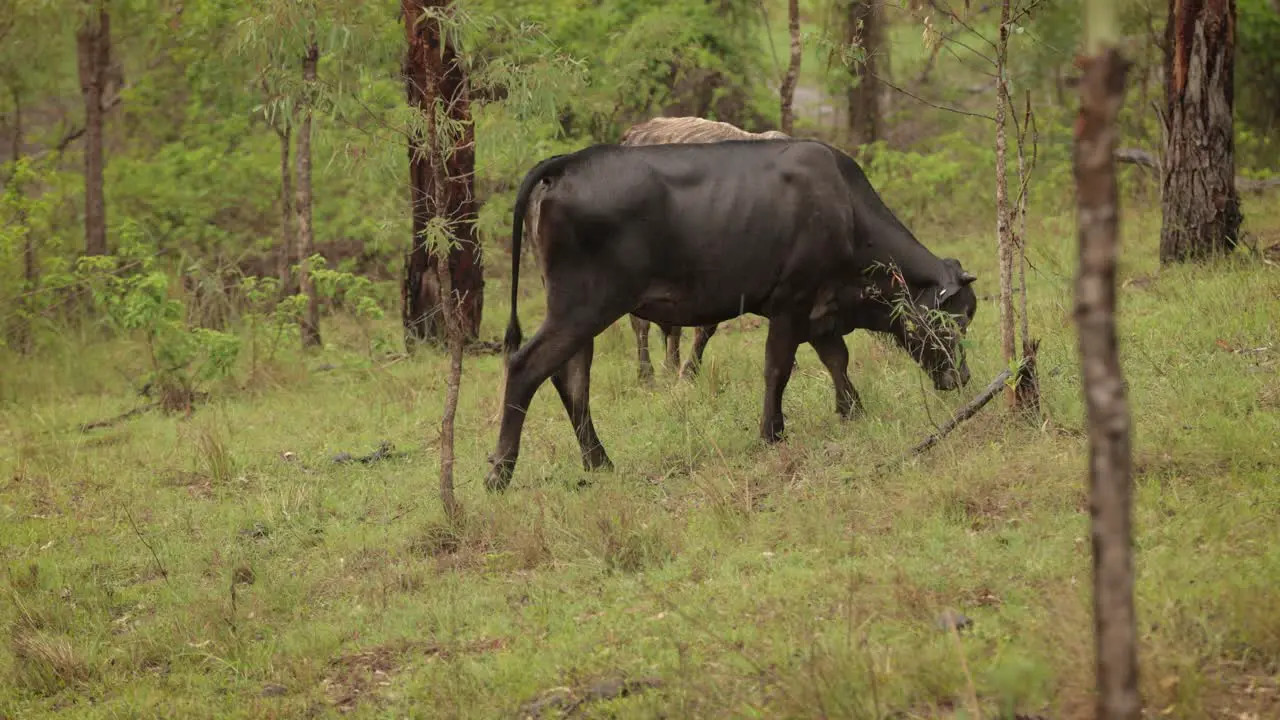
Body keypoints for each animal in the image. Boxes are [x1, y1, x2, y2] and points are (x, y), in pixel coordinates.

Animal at [483, 140, 972, 486]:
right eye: (954, 321)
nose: (963, 377)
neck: (846, 211)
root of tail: (569, 162)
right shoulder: (791, 301)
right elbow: (778, 368)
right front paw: (772, 432)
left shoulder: (820, 309)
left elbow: (837, 360)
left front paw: (851, 410)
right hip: (583, 307)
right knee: (526, 367)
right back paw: (500, 473)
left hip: (578, 312)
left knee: (572, 379)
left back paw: (599, 462)